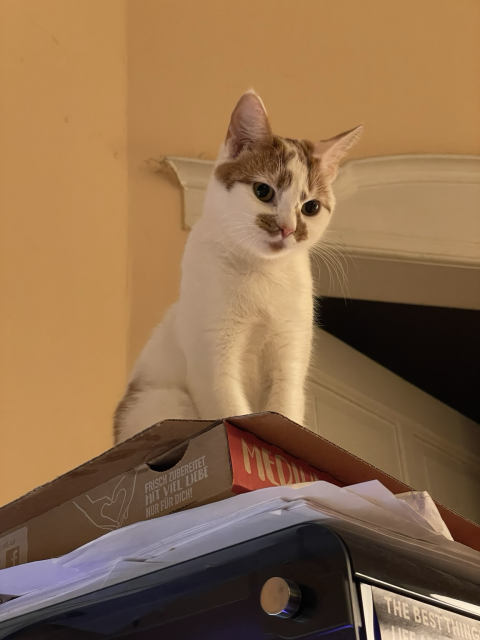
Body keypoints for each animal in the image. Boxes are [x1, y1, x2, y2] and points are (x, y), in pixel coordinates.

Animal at [113, 91, 360, 444]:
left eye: (311, 207)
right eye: (263, 191)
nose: (286, 228)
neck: (261, 273)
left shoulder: (289, 358)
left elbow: (285, 412)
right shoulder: (213, 358)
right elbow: (231, 410)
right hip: (164, 399)